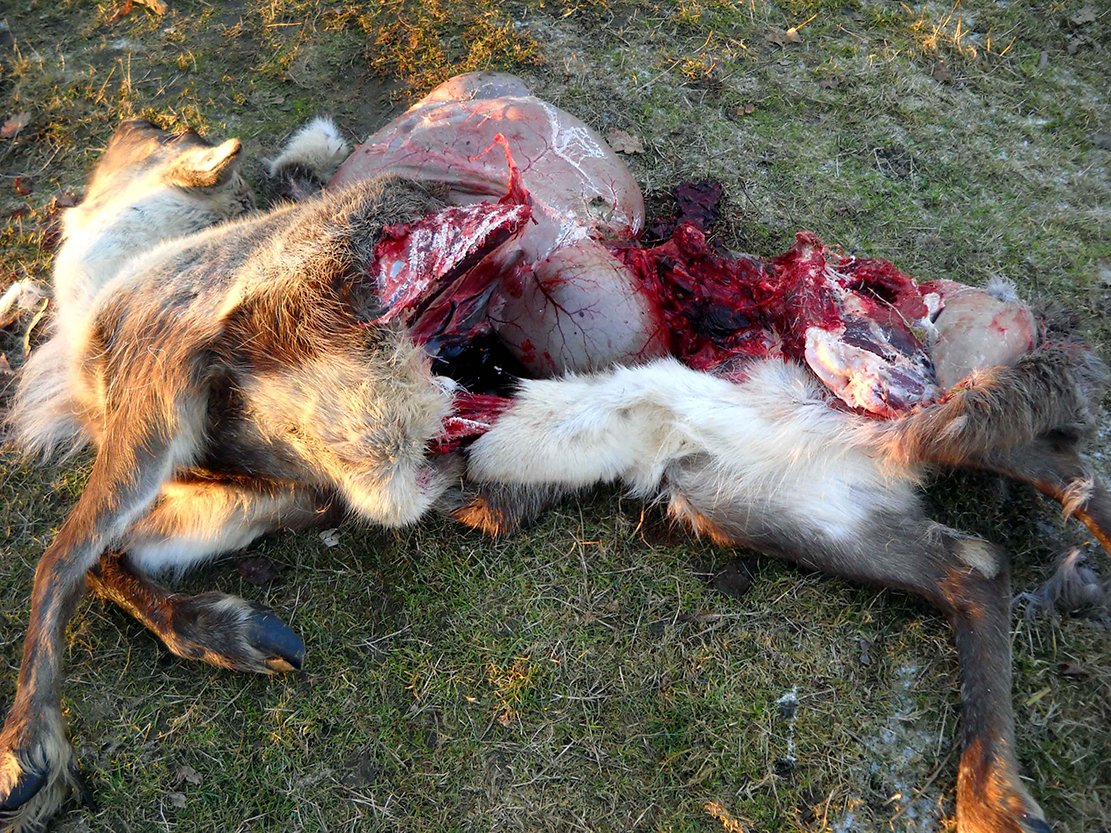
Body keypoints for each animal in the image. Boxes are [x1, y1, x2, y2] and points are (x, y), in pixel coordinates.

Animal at [0, 116, 1107, 833]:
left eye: (145, 146)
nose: (134, 122)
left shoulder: (167, 379)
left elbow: (59, 558)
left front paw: (29, 752)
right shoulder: (277, 482)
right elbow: (113, 557)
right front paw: (234, 633)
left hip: (887, 420)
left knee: (1048, 438)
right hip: (768, 492)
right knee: (979, 552)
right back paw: (995, 790)